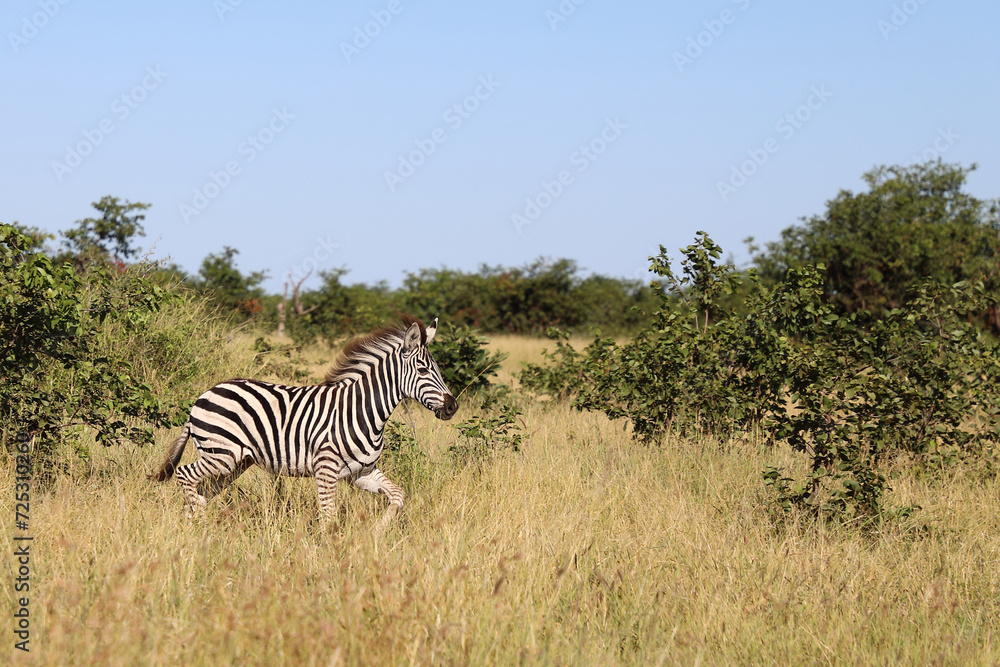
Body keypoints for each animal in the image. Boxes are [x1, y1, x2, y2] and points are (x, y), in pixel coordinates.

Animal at [150, 315, 458, 531]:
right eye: (423, 370)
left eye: (438, 369)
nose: (452, 407)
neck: (363, 411)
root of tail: (203, 395)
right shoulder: (326, 469)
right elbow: (329, 517)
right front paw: (325, 557)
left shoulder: (361, 472)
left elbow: (398, 495)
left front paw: (378, 532)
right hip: (222, 453)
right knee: (185, 475)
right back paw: (199, 521)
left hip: (234, 463)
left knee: (201, 492)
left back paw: (193, 533)